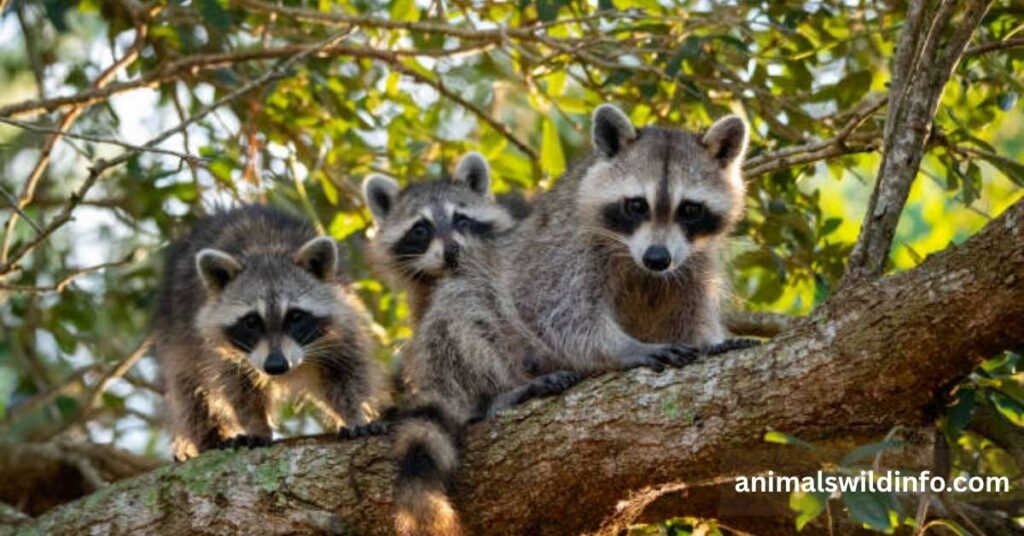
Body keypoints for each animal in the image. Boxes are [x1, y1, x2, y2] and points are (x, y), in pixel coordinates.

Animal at [152, 205, 385, 461]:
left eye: (295, 317)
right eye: (252, 322)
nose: (276, 366)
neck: (265, 250)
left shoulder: (340, 328)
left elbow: (347, 373)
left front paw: (356, 414)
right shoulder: (214, 345)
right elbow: (236, 388)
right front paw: (256, 425)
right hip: (176, 332)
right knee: (188, 390)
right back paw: (209, 438)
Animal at [505, 104, 752, 374]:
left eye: (690, 210)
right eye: (637, 205)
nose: (656, 258)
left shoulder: (696, 262)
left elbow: (689, 318)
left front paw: (707, 343)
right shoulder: (567, 244)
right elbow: (558, 311)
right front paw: (626, 348)